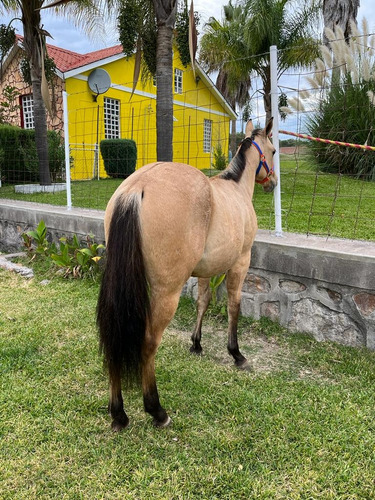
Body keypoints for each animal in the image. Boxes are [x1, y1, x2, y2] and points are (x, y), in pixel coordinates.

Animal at [97, 118, 280, 430]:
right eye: (274, 150)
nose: (273, 182)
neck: (235, 188)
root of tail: (136, 187)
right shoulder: (240, 262)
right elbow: (233, 305)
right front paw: (236, 353)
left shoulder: (205, 270)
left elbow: (202, 302)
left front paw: (196, 343)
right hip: (166, 292)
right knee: (149, 342)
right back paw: (156, 410)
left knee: (115, 337)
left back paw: (118, 413)